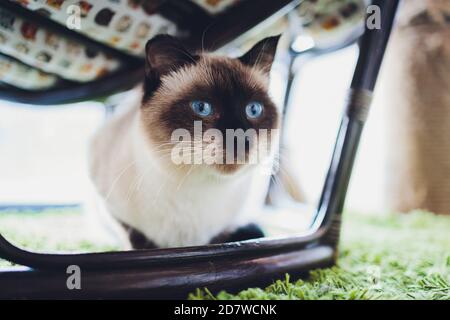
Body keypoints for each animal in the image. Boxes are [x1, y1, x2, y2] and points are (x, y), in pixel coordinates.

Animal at [88, 35, 282, 250]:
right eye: (202, 107)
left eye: (253, 109)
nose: (240, 139)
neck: (196, 188)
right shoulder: (112, 208)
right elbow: (139, 240)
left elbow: (219, 238)